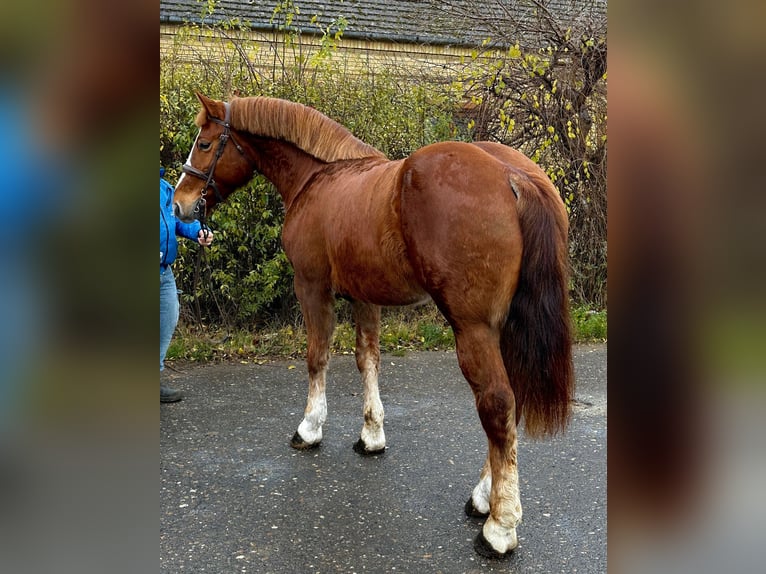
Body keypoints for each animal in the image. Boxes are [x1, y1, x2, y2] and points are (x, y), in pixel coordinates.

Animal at [172, 93, 574, 558]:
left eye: (204, 143)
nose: (180, 204)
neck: (318, 179)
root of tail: (514, 175)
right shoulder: (364, 297)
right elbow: (368, 360)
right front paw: (371, 434)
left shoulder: (312, 286)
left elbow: (317, 357)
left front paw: (310, 428)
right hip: (504, 327)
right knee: (511, 404)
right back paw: (482, 497)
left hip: (474, 328)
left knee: (498, 404)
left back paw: (499, 526)